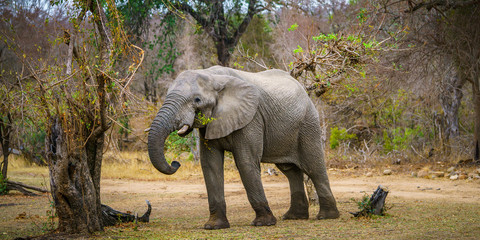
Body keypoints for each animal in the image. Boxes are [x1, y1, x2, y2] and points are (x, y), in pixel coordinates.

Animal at [148, 65, 340, 229]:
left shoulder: (251, 118)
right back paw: (294, 217)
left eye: (197, 100)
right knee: (290, 171)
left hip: (308, 124)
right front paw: (214, 226)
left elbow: (245, 162)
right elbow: (210, 165)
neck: (212, 76)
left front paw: (263, 224)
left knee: (314, 167)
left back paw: (327, 216)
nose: (175, 163)